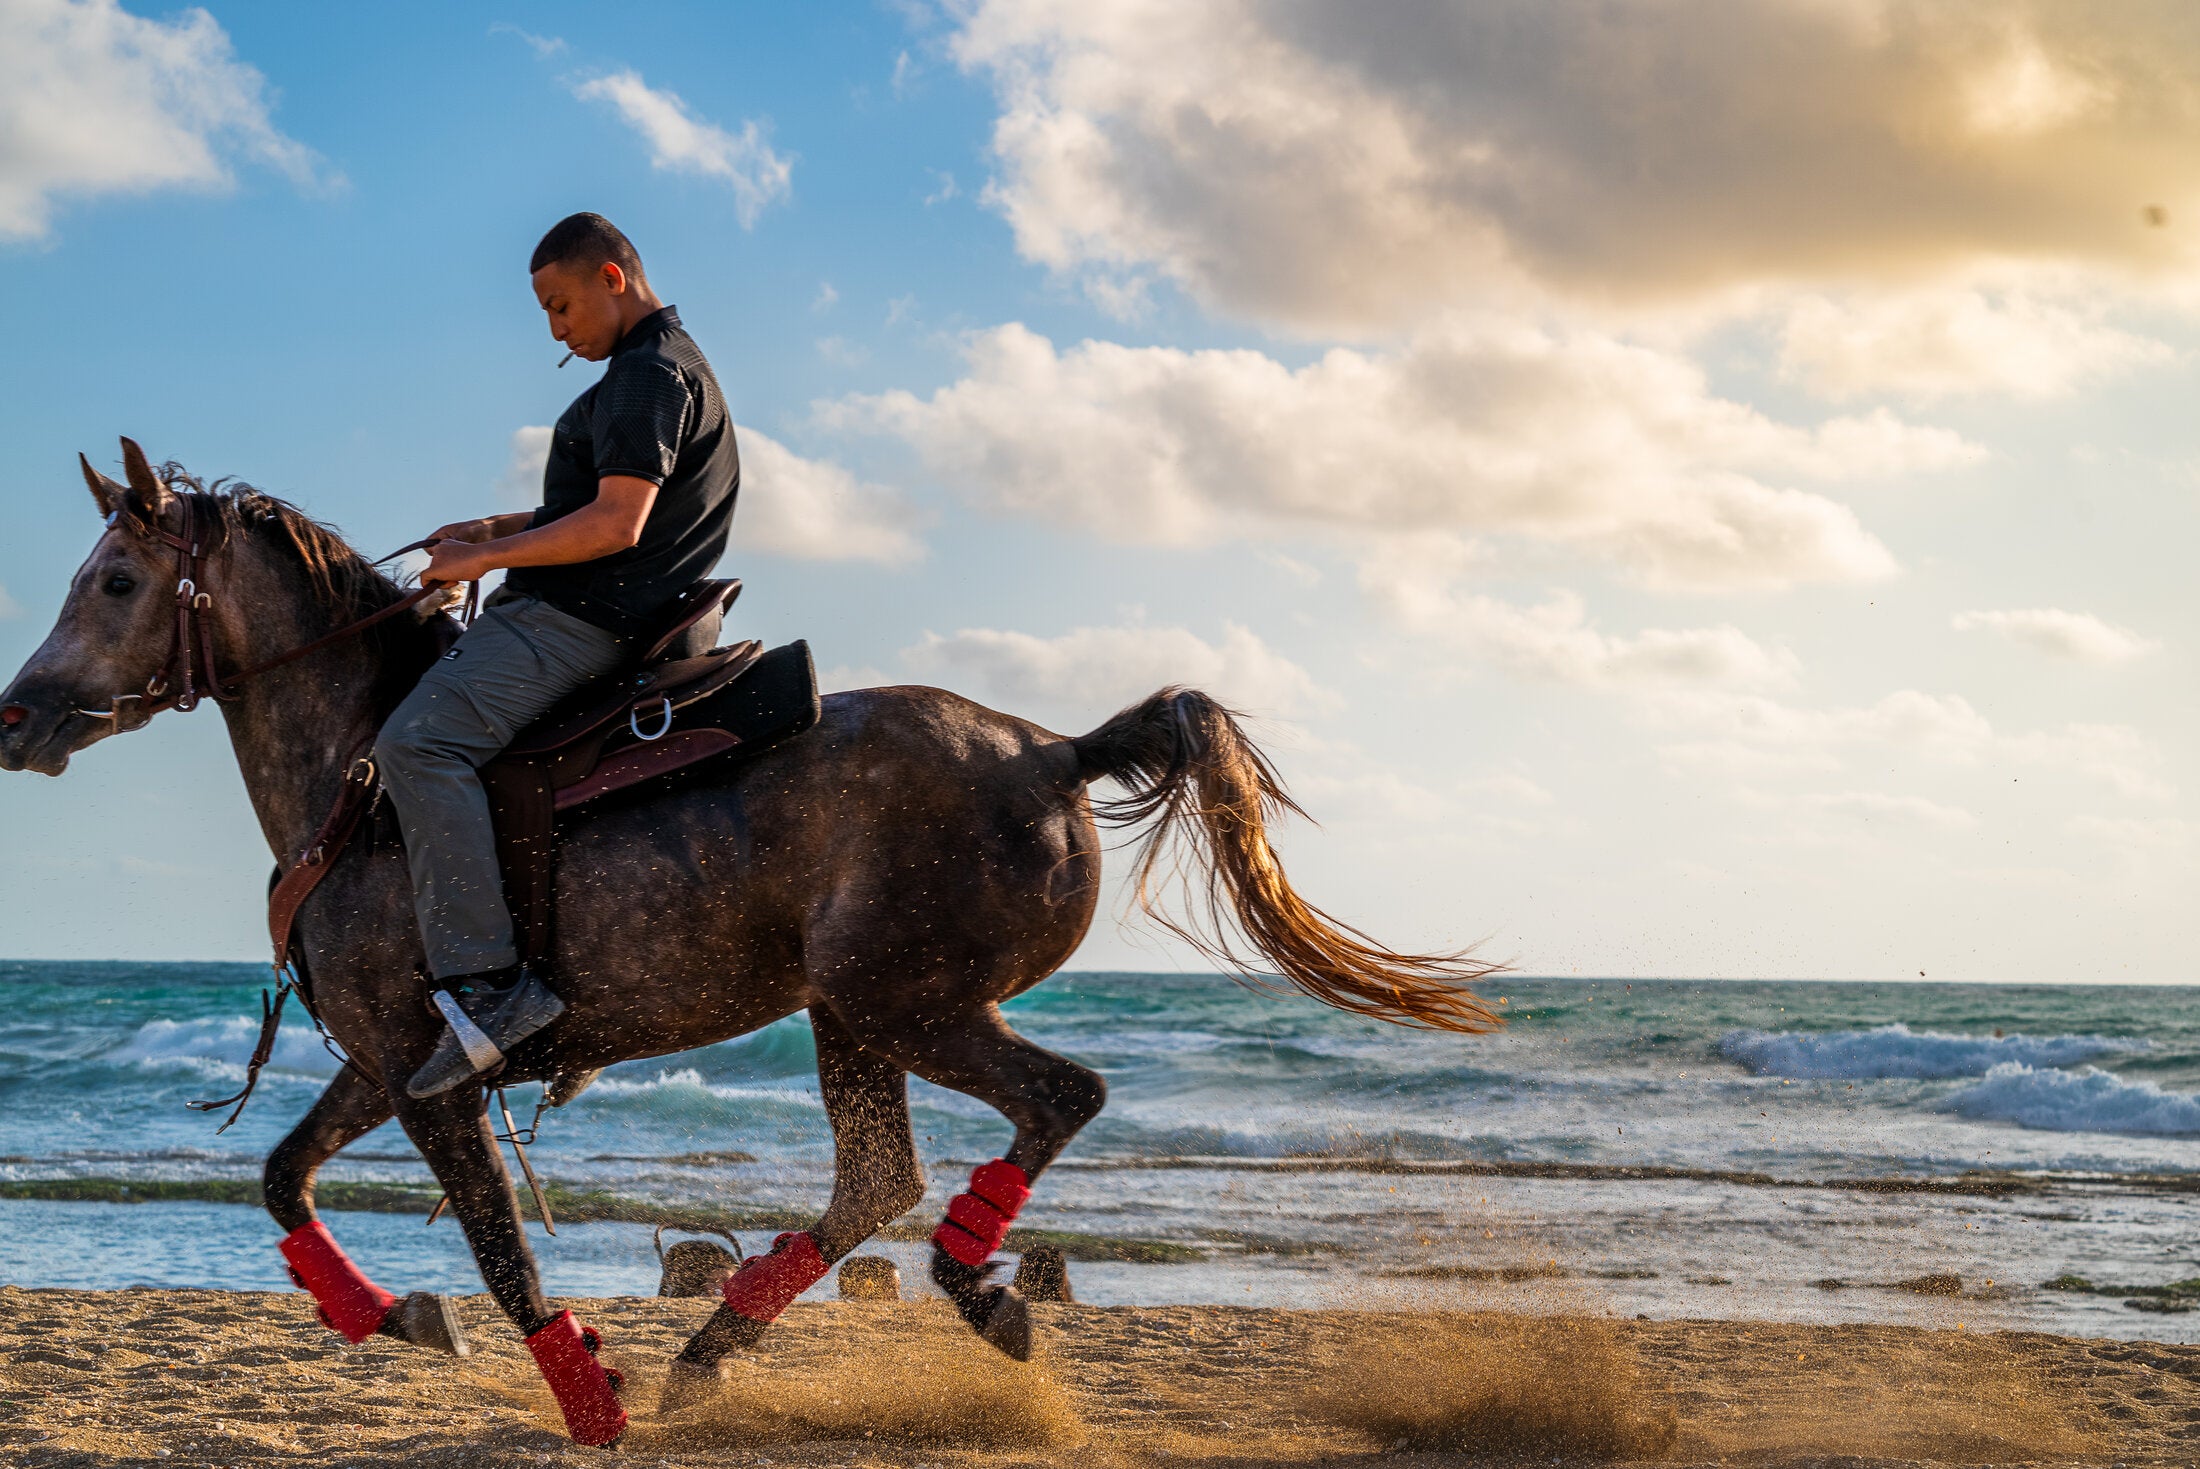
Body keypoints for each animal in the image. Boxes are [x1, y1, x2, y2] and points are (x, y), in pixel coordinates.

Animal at [0, 439, 1499, 1446]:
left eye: (117, 579)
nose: (16, 718)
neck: (365, 771)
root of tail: (1054, 753)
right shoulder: (383, 1060)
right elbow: (281, 1179)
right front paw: (394, 1314)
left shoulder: (433, 1075)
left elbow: (500, 1245)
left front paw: (584, 1394)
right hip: (859, 1015)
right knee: (882, 1175)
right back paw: (726, 1345)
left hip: (906, 1002)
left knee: (1049, 1101)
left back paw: (965, 1288)